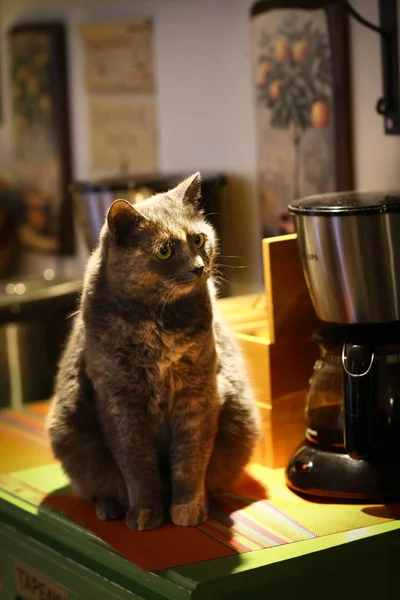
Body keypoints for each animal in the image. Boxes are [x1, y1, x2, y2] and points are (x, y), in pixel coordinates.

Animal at [47, 172, 260, 528]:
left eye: (198, 239)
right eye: (164, 250)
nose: (198, 267)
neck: (156, 319)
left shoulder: (198, 392)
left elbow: (190, 459)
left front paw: (187, 508)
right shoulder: (120, 400)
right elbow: (136, 465)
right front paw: (145, 512)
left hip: (241, 421)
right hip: (69, 431)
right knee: (99, 484)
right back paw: (111, 508)